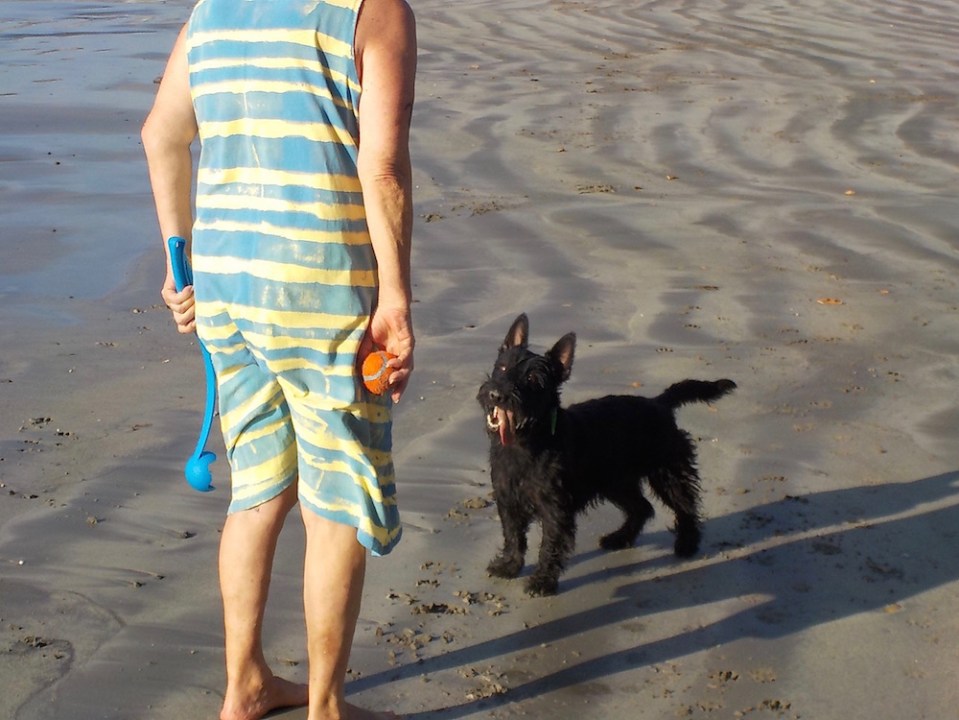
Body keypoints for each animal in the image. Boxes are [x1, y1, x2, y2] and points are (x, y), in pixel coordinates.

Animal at [476, 313, 736, 596]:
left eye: (534, 380)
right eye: (502, 368)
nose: (496, 394)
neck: (529, 441)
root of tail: (659, 403)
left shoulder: (554, 508)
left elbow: (550, 545)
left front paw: (542, 582)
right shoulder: (508, 500)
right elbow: (513, 536)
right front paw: (509, 566)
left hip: (668, 473)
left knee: (685, 505)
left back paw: (687, 544)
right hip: (617, 483)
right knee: (642, 508)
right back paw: (619, 538)